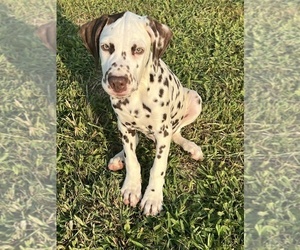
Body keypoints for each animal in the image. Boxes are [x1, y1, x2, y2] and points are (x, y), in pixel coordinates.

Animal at [79, 11, 203, 215]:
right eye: (106, 47)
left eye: (138, 50)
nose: (117, 82)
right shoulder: (124, 126)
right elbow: (132, 160)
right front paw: (132, 188)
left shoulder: (163, 132)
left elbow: (157, 168)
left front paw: (152, 198)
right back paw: (118, 158)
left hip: (194, 99)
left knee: (177, 133)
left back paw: (191, 147)